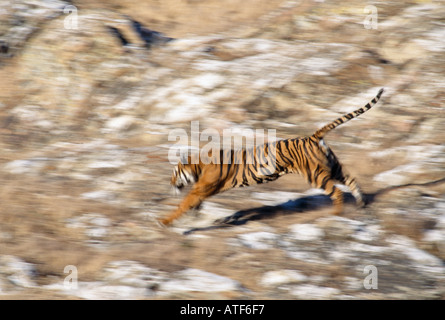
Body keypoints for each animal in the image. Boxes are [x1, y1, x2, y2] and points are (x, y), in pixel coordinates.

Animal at [159, 89, 382, 226]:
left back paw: (336, 214)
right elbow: (192, 205)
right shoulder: (202, 191)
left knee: (336, 192)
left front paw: (164, 222)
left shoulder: (200, 189)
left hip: (315, 175)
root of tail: (313, 136)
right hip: (334, 167)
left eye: (175, 172)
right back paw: (361, 204)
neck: (198, 166)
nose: (170, 183)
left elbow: (182, 205)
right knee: (352, 181)